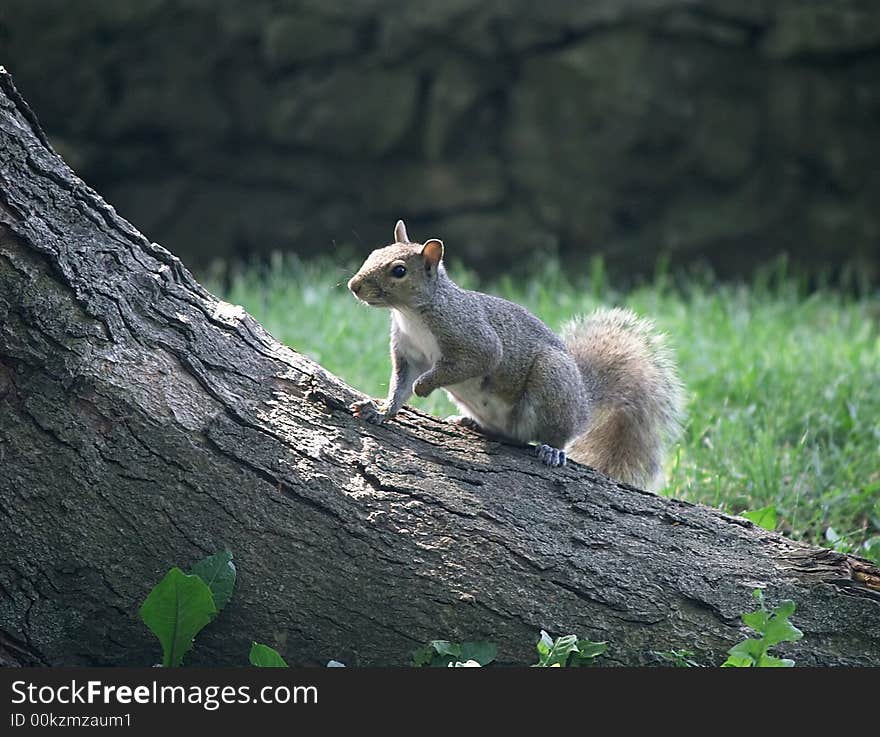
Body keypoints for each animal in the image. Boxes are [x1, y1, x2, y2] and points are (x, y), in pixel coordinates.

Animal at [348, 221, 684, 492]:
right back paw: (472, 423)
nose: (353, 286)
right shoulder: (409, 355)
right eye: (374, 252)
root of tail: (584, 405)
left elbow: (463, 365)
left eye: (399, 270)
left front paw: (424, 386)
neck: (411, 314)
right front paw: (380, 411)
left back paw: (552, 449)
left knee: (553, 434)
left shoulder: (475, 342)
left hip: (552, 379)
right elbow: (400, 386)